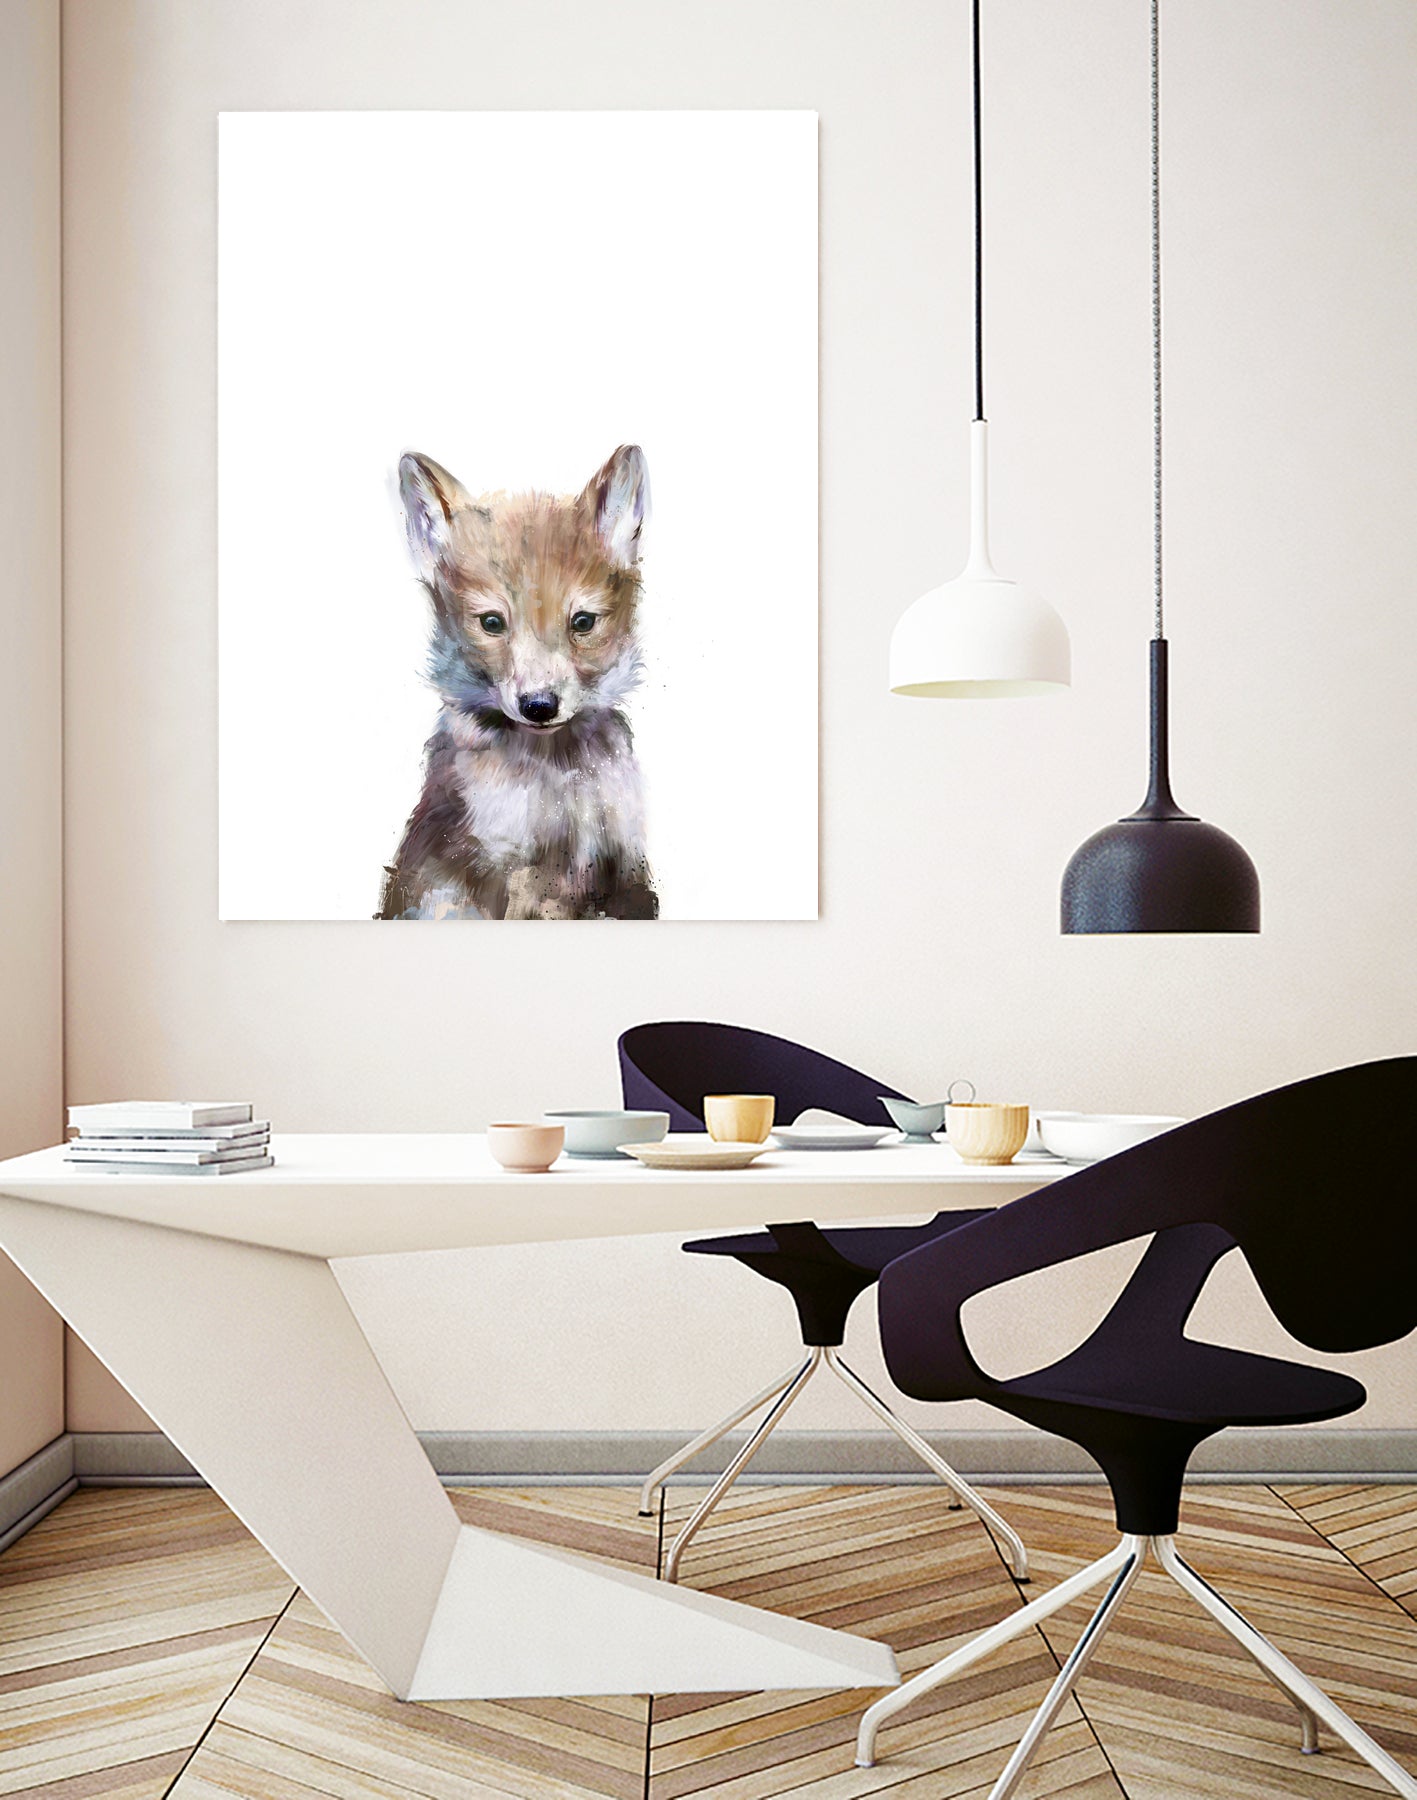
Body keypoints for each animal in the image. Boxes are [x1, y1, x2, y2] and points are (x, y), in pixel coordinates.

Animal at [377, 446, 658, 920]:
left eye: (583, 622)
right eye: (492, 622)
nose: (539, 706)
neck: (557, 779)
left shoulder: (623, 866)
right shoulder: (508, 869)